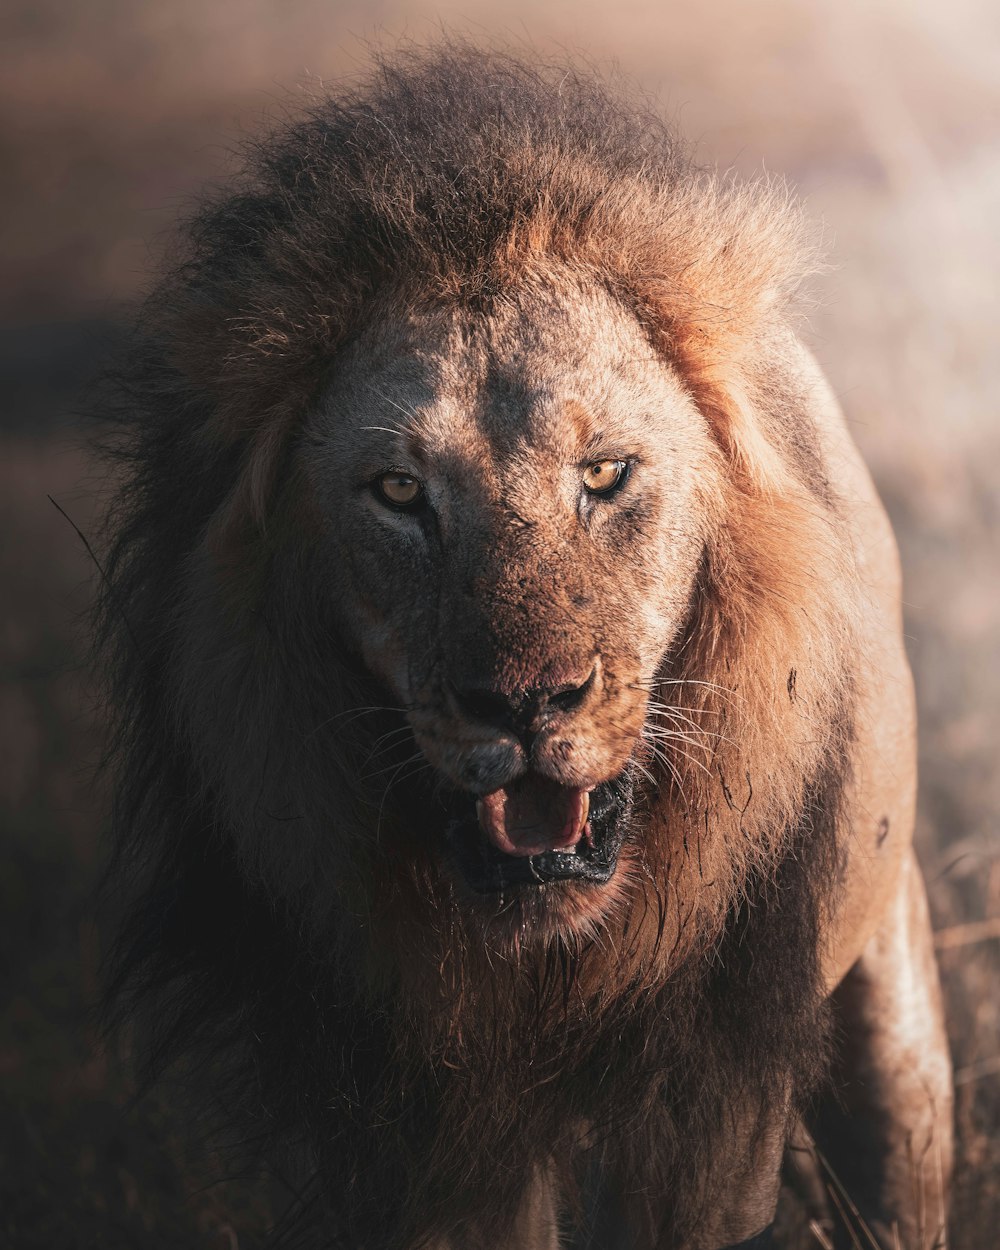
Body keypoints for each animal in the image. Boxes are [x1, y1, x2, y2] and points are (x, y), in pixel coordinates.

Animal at [97, 48, 955, 1250]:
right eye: (399, 493)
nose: (524, 704)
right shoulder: (417, 1123)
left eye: (604, 474)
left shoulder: (715, 1101)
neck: (551, 967)